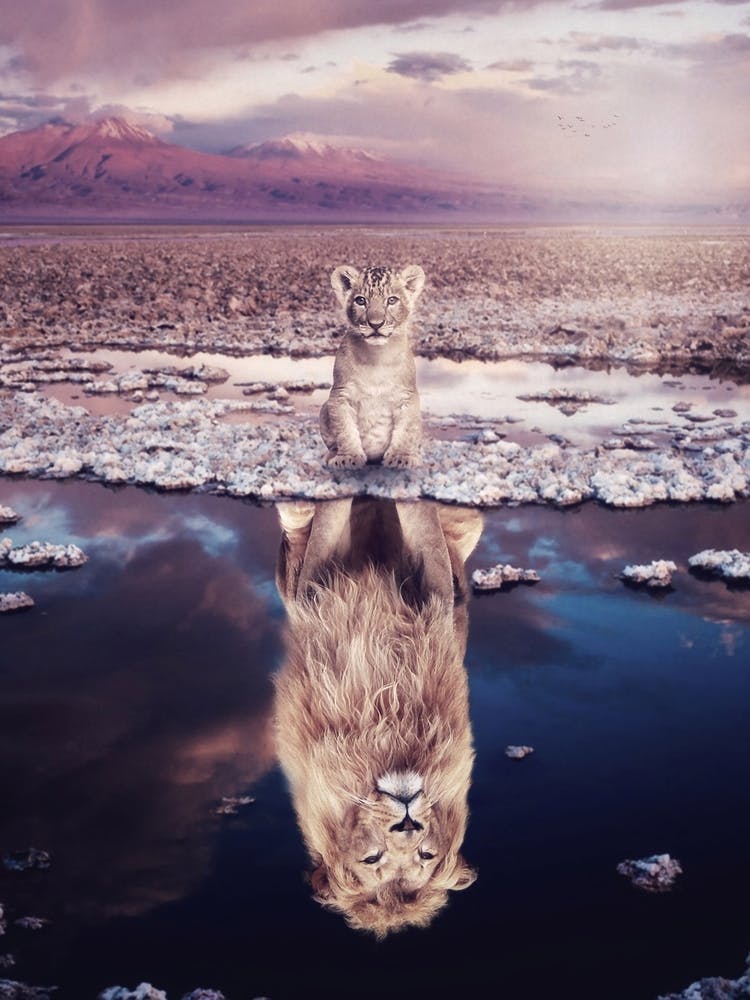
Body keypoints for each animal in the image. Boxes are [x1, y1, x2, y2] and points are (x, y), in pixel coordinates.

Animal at [273, 497, 482, 937]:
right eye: (372, 859)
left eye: (425, 855)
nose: (407, 823)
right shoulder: (313, 584)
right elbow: (330, 516)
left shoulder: (437, 588)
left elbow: (417, 513)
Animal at [320, 264, 425, 469]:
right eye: (361, 300)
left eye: (392, 300)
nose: (376, 324)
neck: (377, 357)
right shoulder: (340, 395)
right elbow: (345, 431)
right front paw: (349, 457)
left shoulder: (407, 396)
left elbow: (405, 431)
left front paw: (401, 457)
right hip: (323, 409)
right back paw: (331, 456)